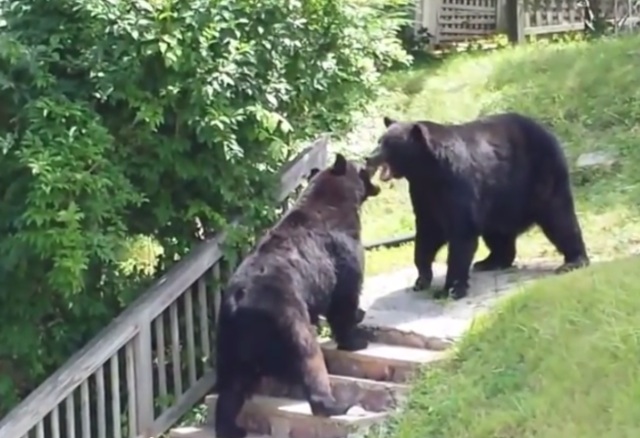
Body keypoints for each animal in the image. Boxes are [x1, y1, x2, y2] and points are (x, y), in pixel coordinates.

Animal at [215, 153, 380, 438]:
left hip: (228, 339)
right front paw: (356, 337)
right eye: (363, 166)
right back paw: (336, 404)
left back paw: (232, 428)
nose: (370, 160)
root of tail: (240, 302)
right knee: (309, 357)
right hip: (288, 316)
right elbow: (345, 297)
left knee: (230, 387)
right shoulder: (341, 251)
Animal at [364, 112, 592, 302]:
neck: (428, 171)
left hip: (542, 177)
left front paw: (451, 289)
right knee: (498, 235)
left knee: (559, 218)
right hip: (499, 203)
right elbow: (427, 232)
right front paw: (422, 279)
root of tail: (546, 130)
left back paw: (573, 261)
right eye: (379, 141)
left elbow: (461, 233)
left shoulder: (457, 183)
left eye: (388, 144)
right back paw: (491, 261)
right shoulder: (424, 195)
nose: (368, 157)